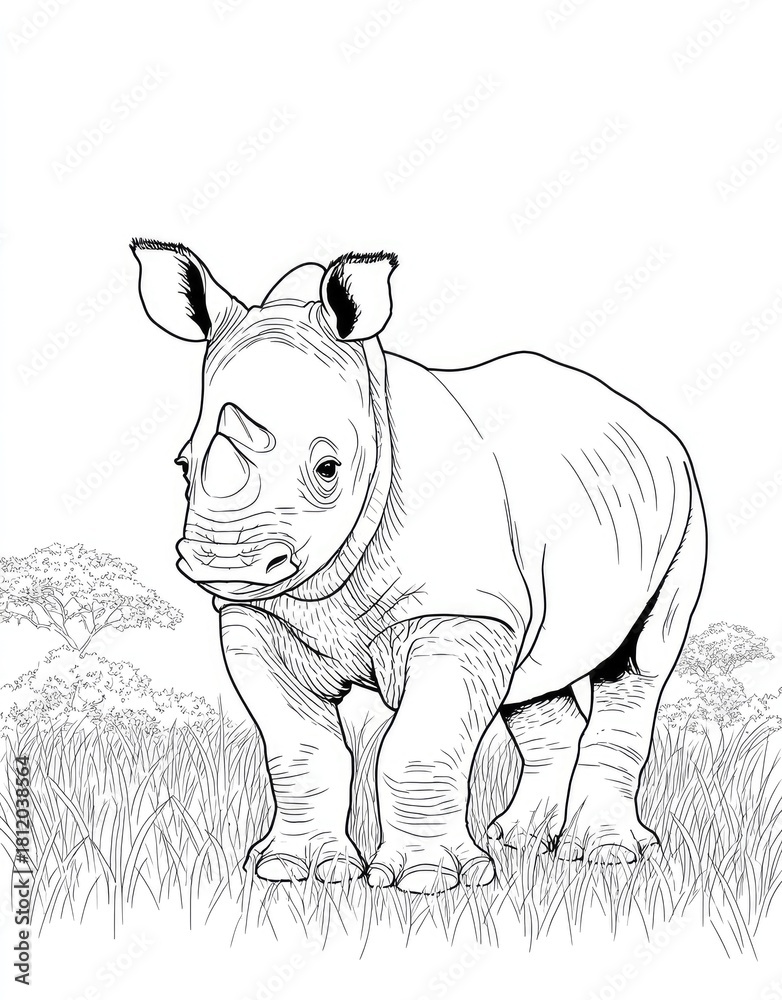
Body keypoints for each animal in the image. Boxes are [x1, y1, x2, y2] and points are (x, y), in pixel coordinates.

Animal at [131, 239, 707, 894]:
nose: (224, 562)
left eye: (328, 469)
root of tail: (647, 420)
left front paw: (431, 881)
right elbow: (298, 746)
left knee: (639, 664)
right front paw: (294, 872)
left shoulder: (461, 613)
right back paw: (519, 840)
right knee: (536, 683)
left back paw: (604, 855)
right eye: (182, 466)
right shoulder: (259, 618)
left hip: (684, 508)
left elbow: (419, 743)